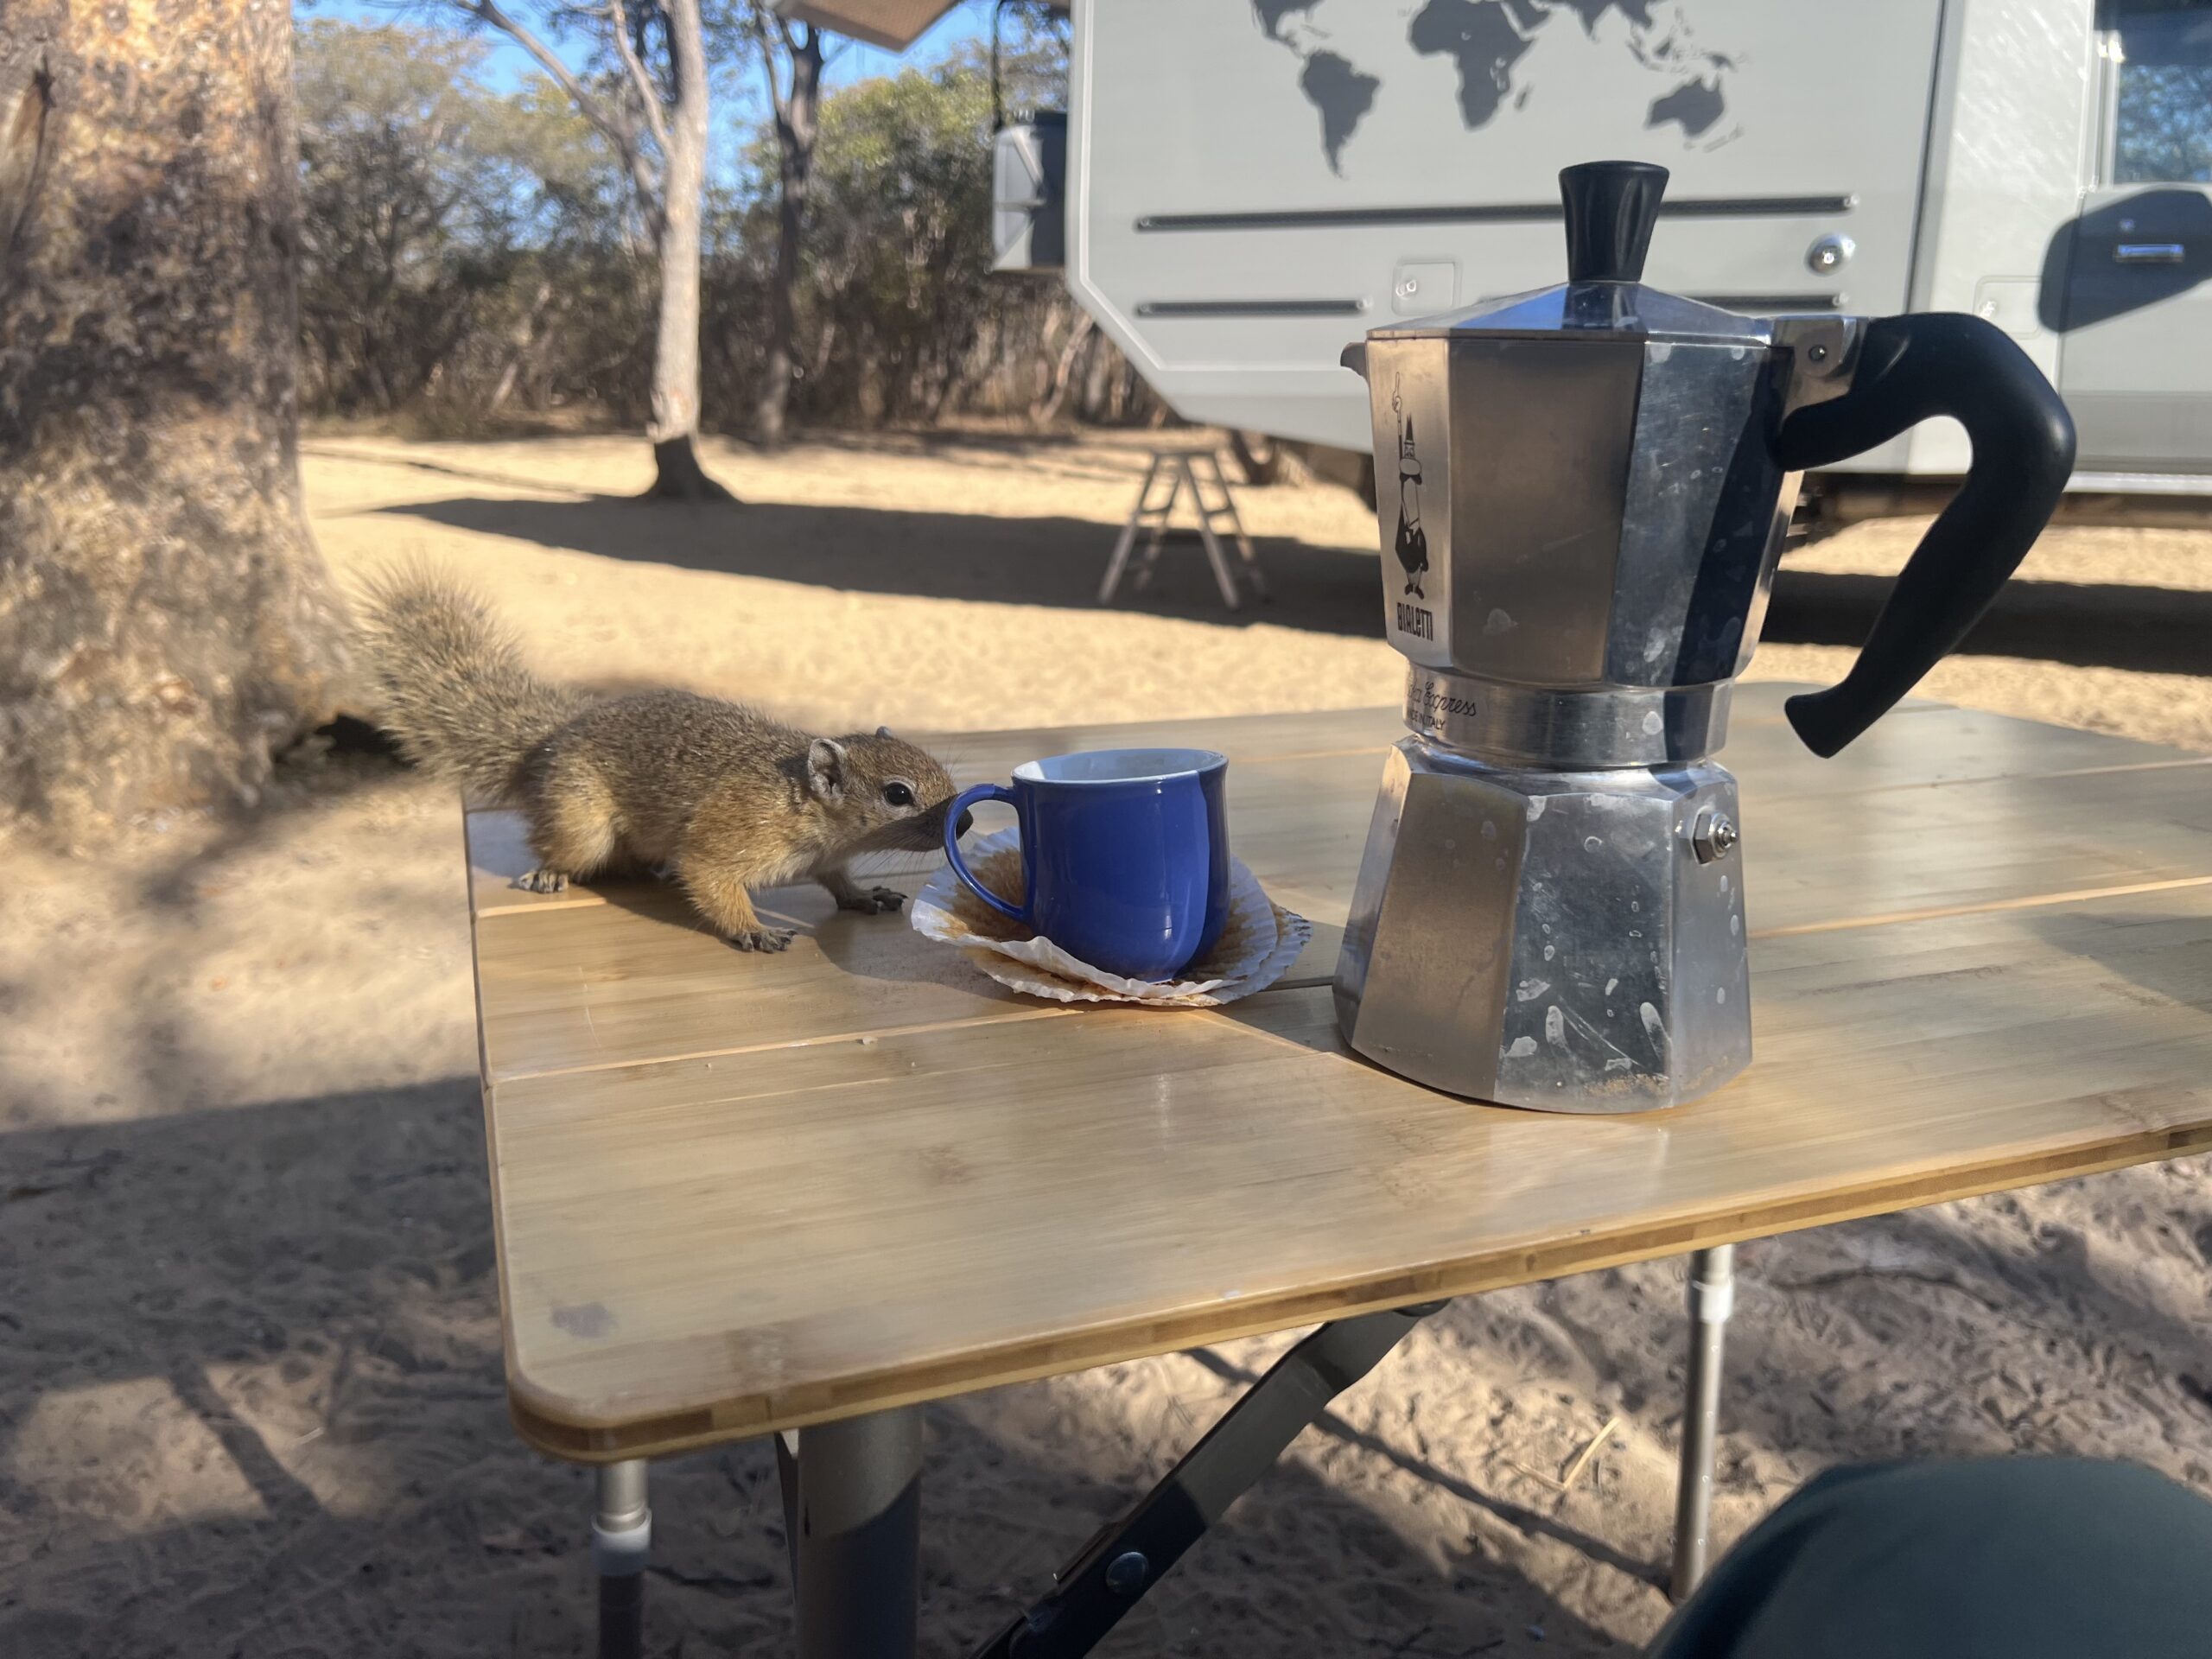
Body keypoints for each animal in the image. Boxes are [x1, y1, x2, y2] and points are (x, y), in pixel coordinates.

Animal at [355, 575, 968, 953]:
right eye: (897, 793)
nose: (962, 822)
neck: (805, 807)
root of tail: (548, 743)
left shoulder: (826, 858)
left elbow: (837, 881)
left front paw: (863, 896)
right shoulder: (729, 835)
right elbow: (711, 880)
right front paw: (753, 930)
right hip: (582, 823)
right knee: (565, 848)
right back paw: (549, 872)